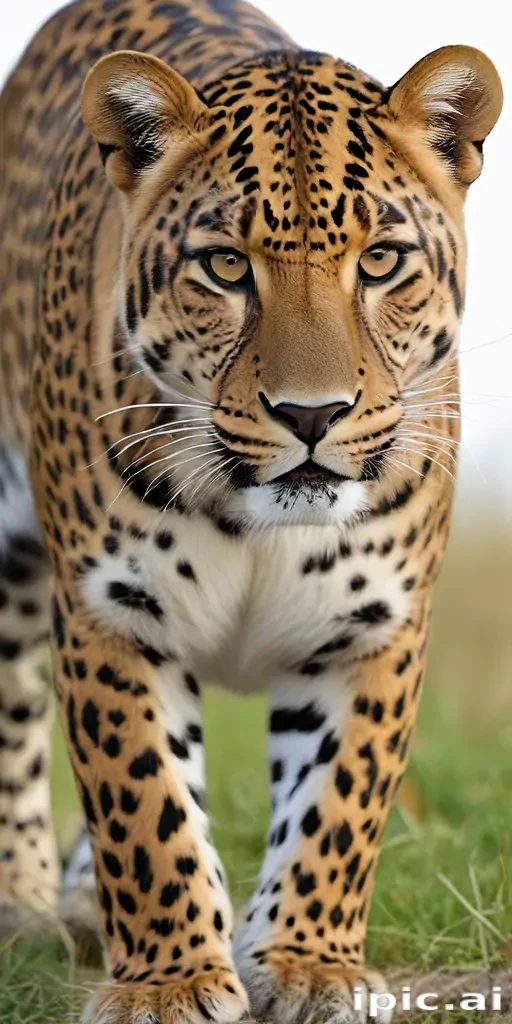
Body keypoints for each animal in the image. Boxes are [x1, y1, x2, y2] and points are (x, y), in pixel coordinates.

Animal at [0, 0, 503, 1021]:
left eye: (381, 261)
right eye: (227, 267)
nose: (311, 416)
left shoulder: (375, 627)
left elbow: (340, 798)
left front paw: (309, 965)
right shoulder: (110, 614)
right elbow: (143, 803)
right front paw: (171, 982)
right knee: (16, 714)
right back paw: (27, 906)